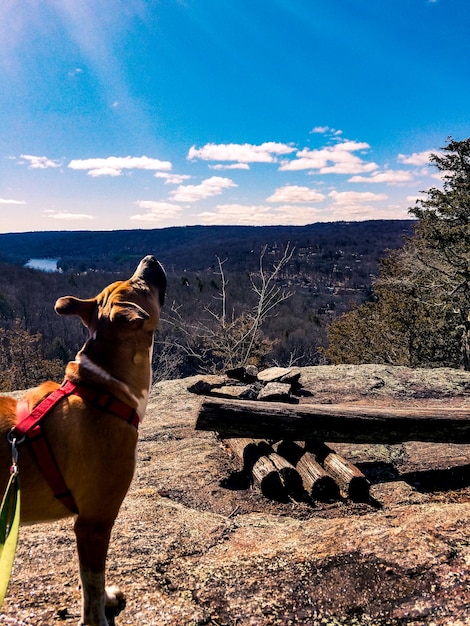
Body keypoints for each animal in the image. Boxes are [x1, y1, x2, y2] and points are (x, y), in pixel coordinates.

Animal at [0, 255, 167, 624]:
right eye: (139, 285)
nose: (149, 258)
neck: (104, 388)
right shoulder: (94, 522)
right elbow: (92, 581)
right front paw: (97, 616)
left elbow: (88, 580)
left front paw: (105, 600)